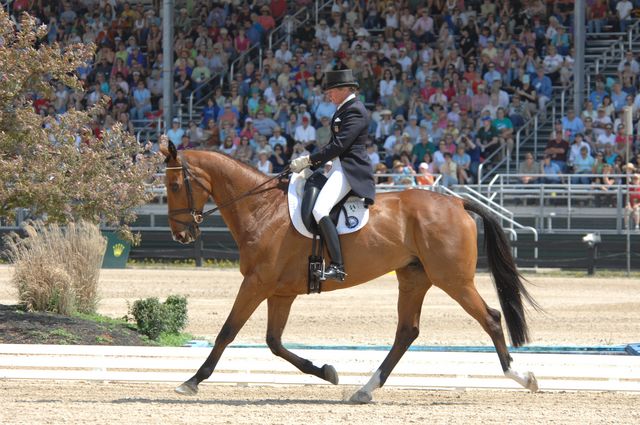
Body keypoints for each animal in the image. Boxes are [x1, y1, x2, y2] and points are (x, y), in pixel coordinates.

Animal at [160, 142, 539, 402]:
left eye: (175, 186)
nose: (180, 236)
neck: (263, 209)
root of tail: (456, 201)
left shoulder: (256, 283)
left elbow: (227, 332)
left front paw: (191, 381)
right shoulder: (280, 291)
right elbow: (274, 343)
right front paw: (327, 372)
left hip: (453, 279)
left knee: (490, 318)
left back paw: (522, 376)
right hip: (414, 278)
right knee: (407, 332)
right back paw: (365, 389)